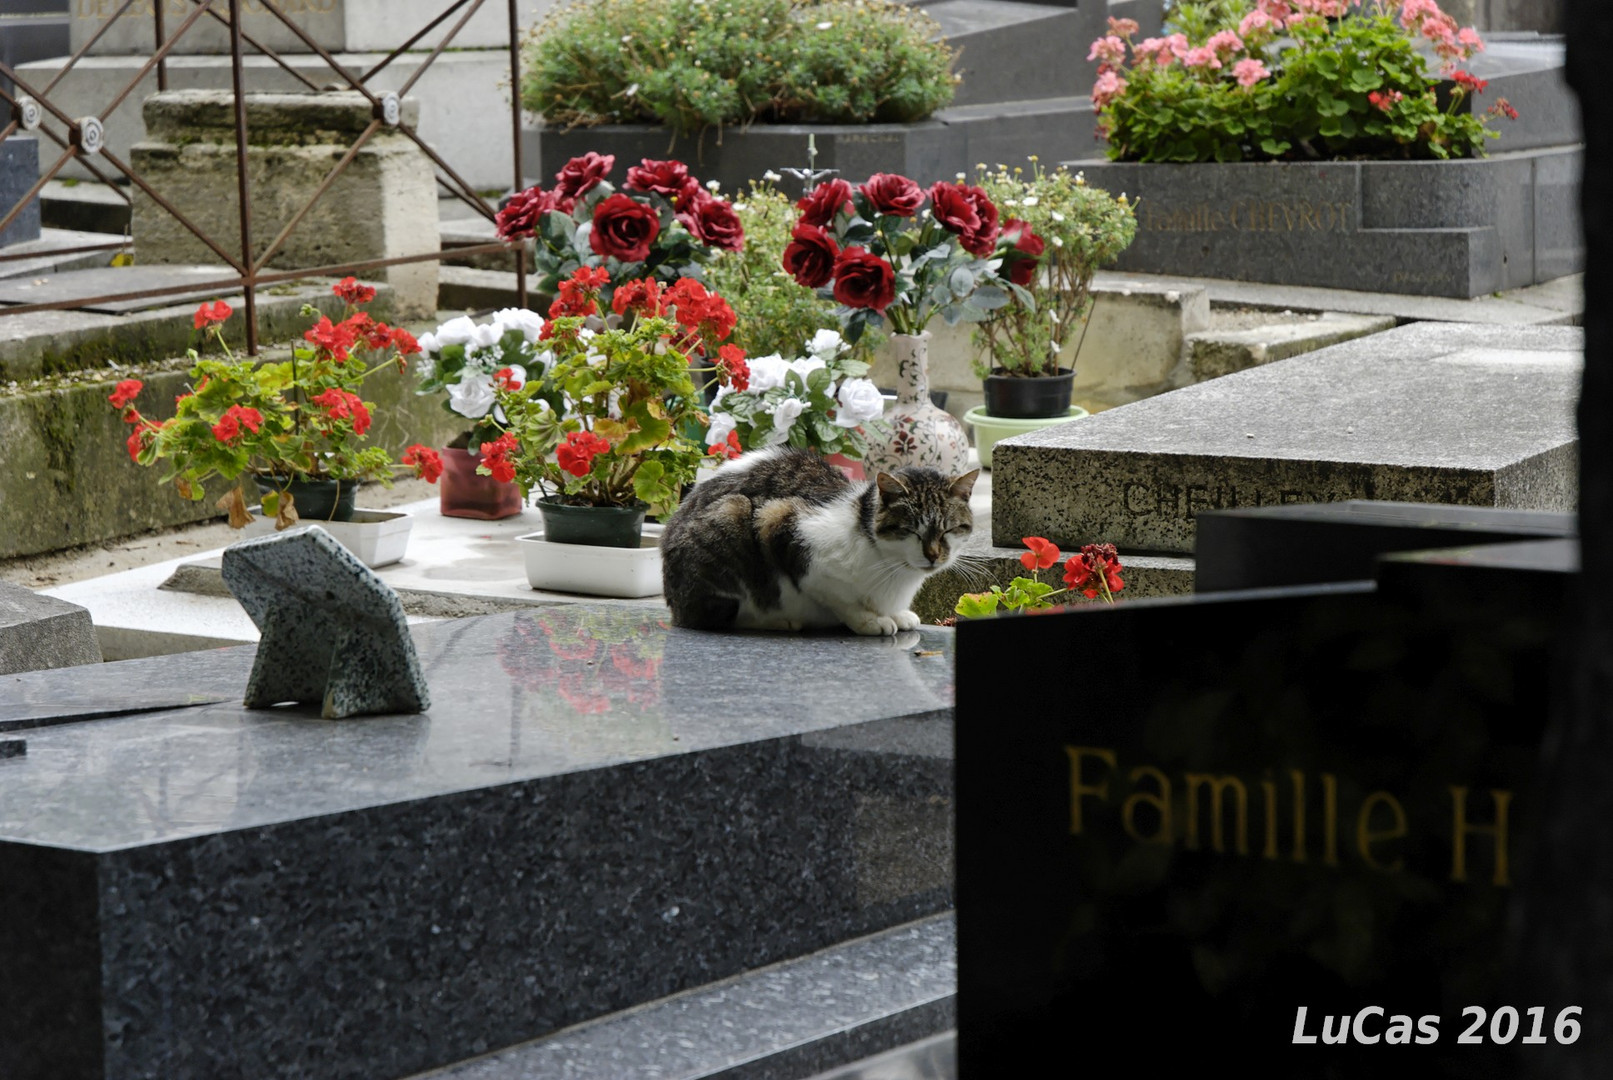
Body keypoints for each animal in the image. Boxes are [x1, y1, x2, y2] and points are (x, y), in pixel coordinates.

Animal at [661, 444, 974, 635]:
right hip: (733, 512)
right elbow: (839, 598)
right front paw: (869, 620)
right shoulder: (784, 527)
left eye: (948, 530)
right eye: (912, 530)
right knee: (716, 617)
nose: (933, 555)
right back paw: (779, 621)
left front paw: (897, 614)